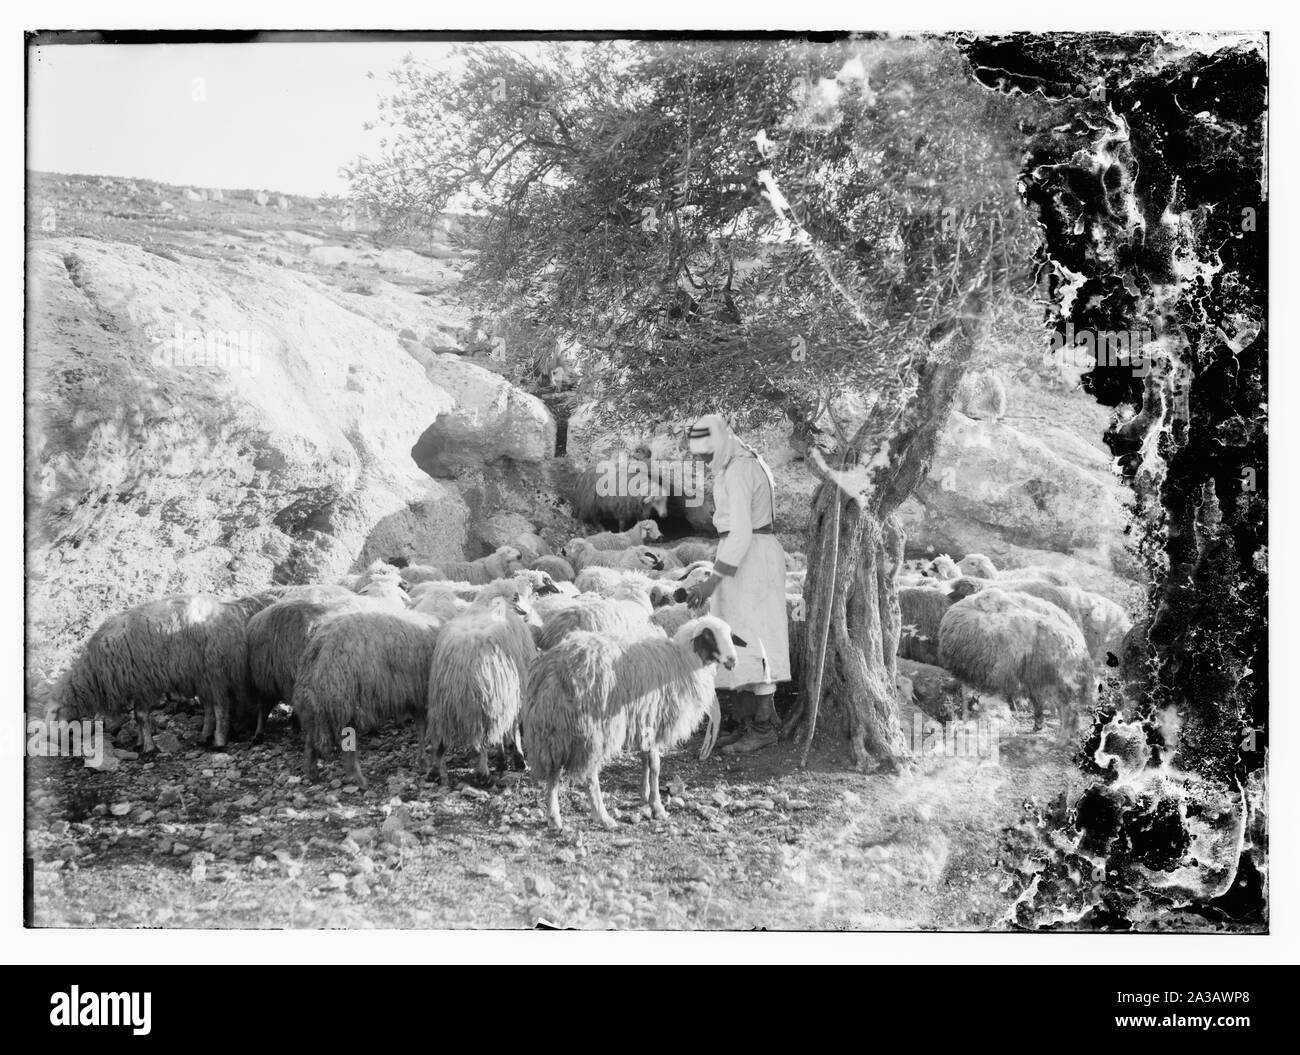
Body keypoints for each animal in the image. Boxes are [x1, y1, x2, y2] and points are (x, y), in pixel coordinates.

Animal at [50, 591, 278, 754]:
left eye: (53, 713)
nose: (51, 741)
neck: (95, 673)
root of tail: (229, 611)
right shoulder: (138, 686)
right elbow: (138, 717)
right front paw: (140, 742)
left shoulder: (143, 684)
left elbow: (141, 716)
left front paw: (148, 747)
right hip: (201, 675)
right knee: (209, 708)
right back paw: (205, 736)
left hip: (214, 671)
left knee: (221, 707)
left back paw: (219, 741)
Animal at [293, 608, 442, 788]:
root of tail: (319, 644)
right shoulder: (423, 696)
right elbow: (425, 729)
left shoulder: (415, 696)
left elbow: (421, 727)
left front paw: (422, 760)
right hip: (344, 701)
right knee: (347, 745)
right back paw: (359, 779)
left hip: (314, 706)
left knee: (310, 739)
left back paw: (311, 771)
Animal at [425, 595, 538, 786]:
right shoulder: (512, 697)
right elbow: (512, 731)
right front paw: (517, 759)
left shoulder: (503, 700)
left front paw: (502, 760)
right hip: (483, 705)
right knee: (482, 742)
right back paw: (483, 773)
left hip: (443, 704)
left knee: (440, 741)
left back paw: (434, 771)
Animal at [521, 614, 743, 830]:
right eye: (708, 635)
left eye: (730, 635)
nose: (733, 660)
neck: (684, 660)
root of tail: (553, 671)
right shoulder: (654, 719)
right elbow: (655, 766)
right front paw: (657, 806)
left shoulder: (642, 721)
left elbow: (645, 760)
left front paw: (645, 795)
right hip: (592, 731)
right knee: (590, 775)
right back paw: (602, 817)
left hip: (553, 732)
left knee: (553, 774)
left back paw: (554, 818)